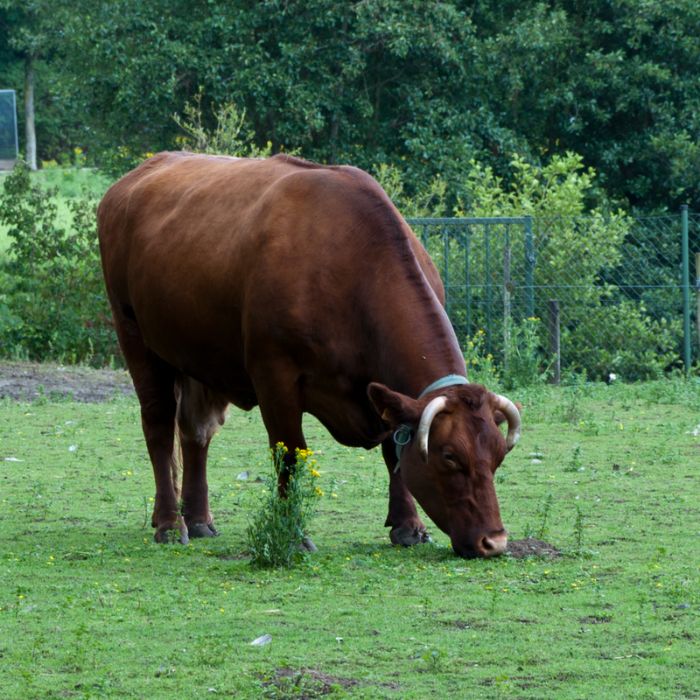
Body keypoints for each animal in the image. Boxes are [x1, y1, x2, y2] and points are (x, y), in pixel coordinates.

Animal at [97, 152, 520, 556]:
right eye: (449, 456)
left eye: (499, 456)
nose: (494, 541)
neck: (352, 266)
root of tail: (132, 180)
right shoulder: (275, 376)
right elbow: (290, 455)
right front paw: (294, 532)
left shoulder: (383, 389)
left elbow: (395, 453)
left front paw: (408, 526)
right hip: (135, 336)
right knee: (158, 426)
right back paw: (170, 523)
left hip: (198, 355)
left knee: (195, 432)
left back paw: (198, 518)